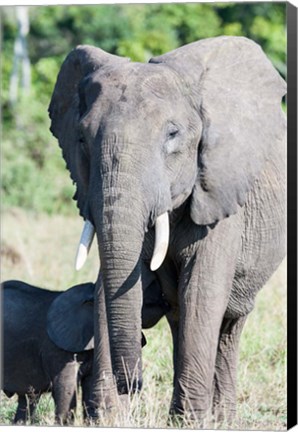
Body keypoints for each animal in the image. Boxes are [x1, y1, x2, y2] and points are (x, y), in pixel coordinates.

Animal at [49, 37, 286, 422]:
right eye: (82, 140)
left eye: (172, 135)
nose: (133, 384)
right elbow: (107, 288)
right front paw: (109, 419)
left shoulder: (219, 193)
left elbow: (202, 292)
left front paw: (188, 422)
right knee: (179, 314)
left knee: (228, 322)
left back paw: (220, 419)